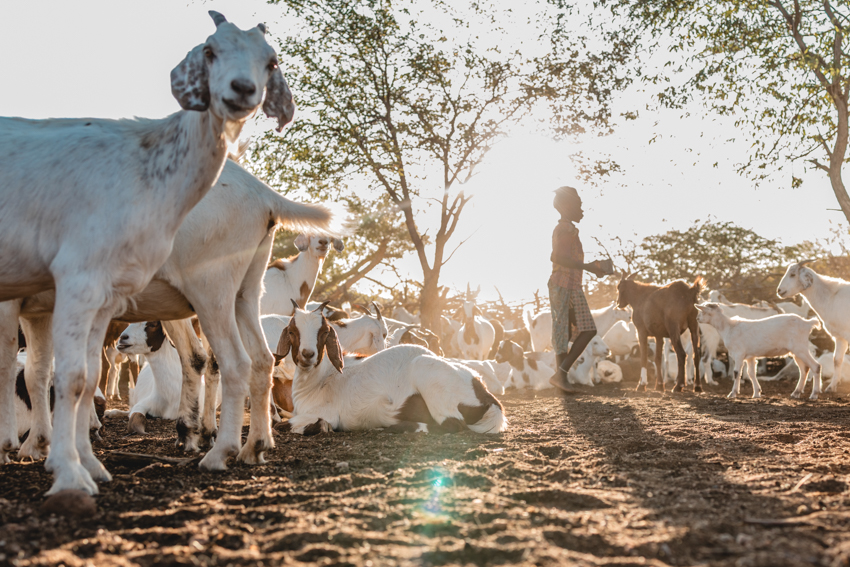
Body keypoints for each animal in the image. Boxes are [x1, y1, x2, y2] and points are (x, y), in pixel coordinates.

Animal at [275, 306, 507, 434]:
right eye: (293, 331)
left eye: (323, 332)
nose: (307, 354)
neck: (322, 380)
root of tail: (485, 394)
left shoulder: (328, 413)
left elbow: (287, 425)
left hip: (426, 371)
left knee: (452, 424)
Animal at [777, 260, 850, 394]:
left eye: (793, 274)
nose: (779, 291)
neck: (831, 297)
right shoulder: (839, 336)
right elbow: (837, 360)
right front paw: (831, 387)